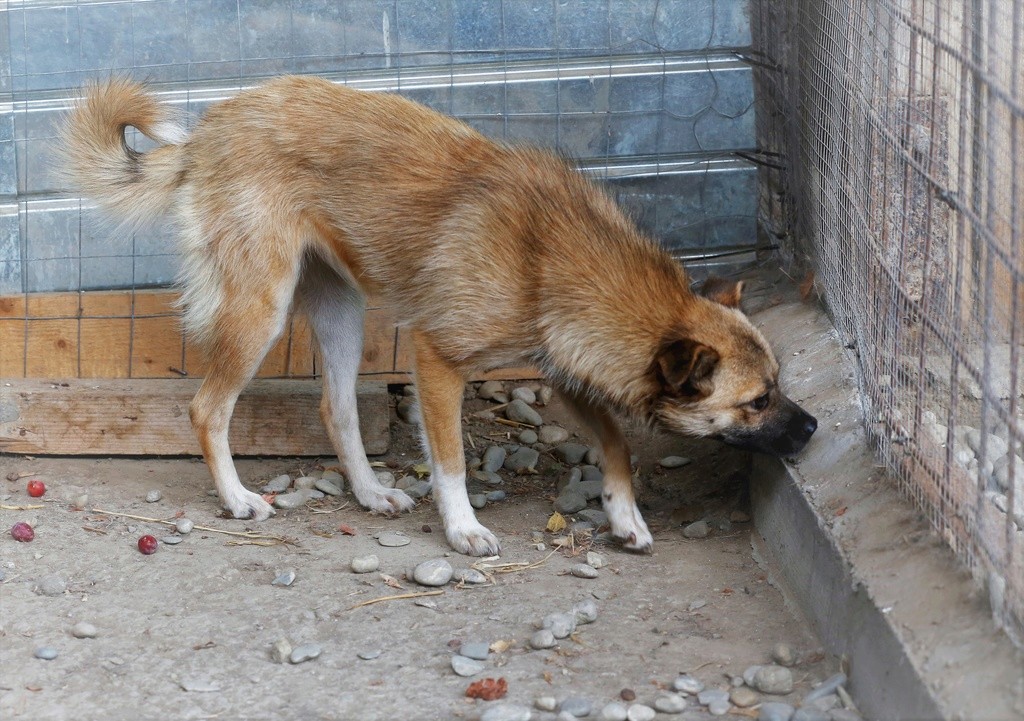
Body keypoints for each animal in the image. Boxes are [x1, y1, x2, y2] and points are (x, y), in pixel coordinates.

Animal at [61, 75, 815, 553]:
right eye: (756, 401)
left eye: (776, 386)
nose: (812, 428)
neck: (552, 254)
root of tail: (207, 130)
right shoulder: (439, 361)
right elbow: (449, 459)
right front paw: (462, 529)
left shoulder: (565, 371)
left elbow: (618, 443)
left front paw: (623, 515)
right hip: (259, 311)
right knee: (207, 408)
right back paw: (237, 498)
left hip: (341, 310)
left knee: (336, 408)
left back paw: (370, 492)